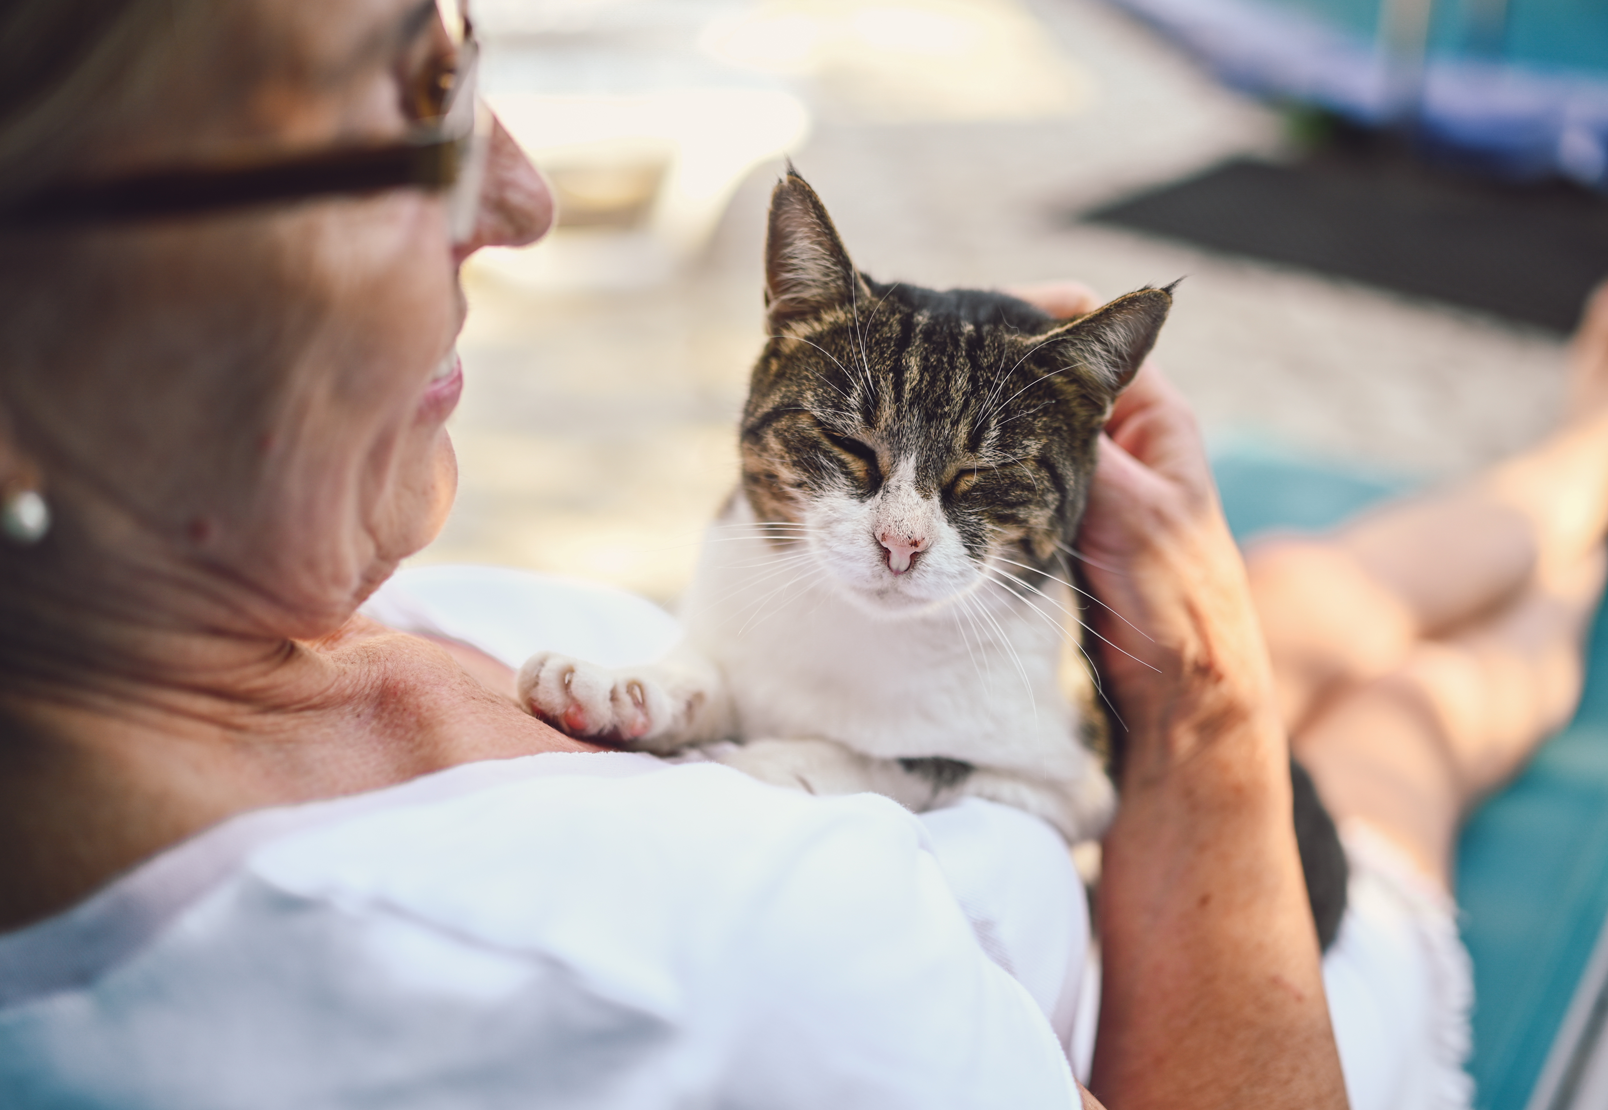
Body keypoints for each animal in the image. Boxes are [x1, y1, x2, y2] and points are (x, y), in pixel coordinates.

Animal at [517, 168, 1170, 836]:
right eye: (848, 442)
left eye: (982, 471)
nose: (900, 543)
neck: (856, 630)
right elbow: (711, 676)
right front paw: (620, 688)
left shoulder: (1067, 789)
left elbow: (911, 762)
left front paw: (756, 763)